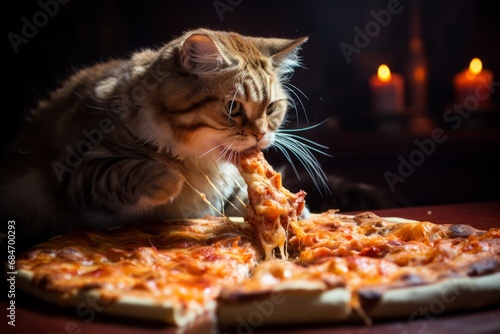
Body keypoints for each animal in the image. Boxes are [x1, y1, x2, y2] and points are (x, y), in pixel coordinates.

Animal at [0, 28, 316, 237]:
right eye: (233, 107)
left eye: (271, 108)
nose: (261, 135)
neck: (199, 161)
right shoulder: (76, 169)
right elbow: (122, 172)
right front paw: (172, 179)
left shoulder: (232, 184)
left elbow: (249, 195)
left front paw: (295, 212)